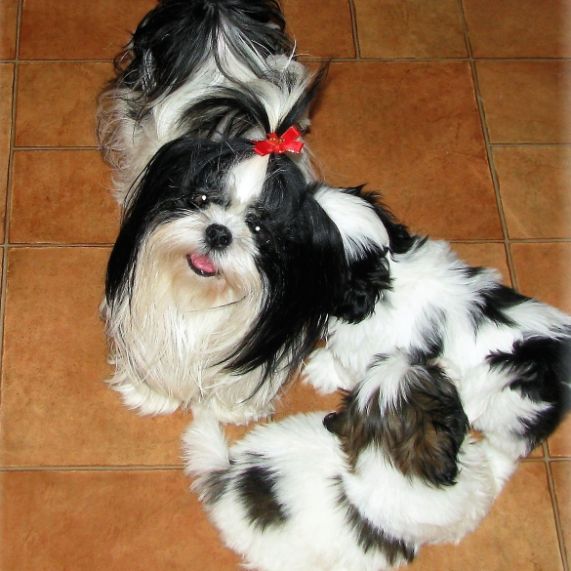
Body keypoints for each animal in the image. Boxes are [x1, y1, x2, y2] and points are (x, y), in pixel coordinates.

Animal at [184, 362, 520, 571]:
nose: (428, 360)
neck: (380, 451)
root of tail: (230, 475)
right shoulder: (456, 512)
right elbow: (483, 486)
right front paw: (501, 458)